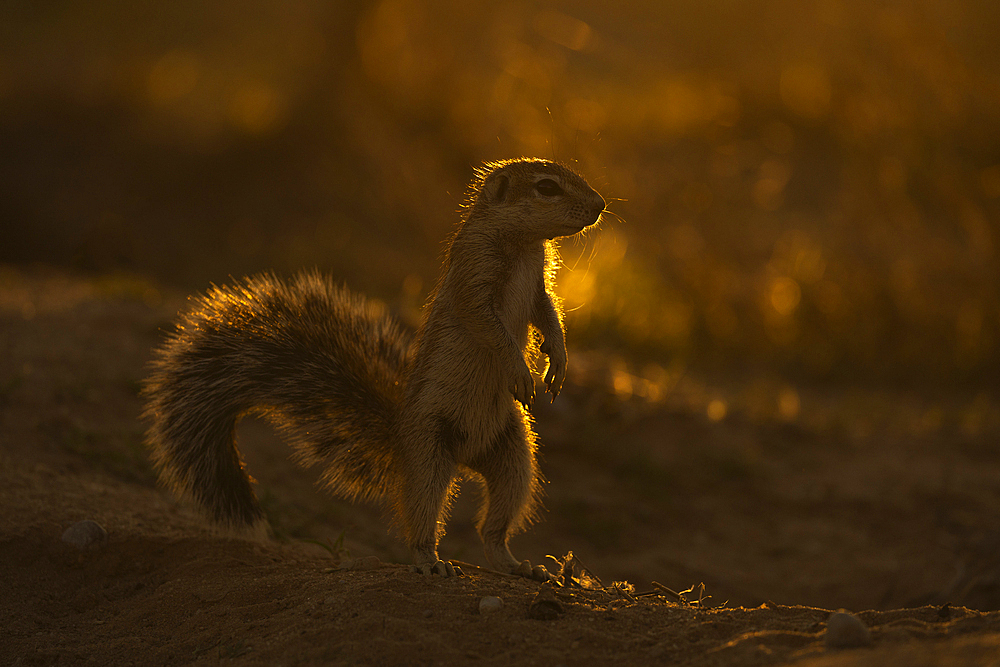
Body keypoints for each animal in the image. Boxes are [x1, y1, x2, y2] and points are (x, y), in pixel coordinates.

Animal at [142, 157, 604, 580]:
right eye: (547, 187)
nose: (600, 204)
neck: (525, 243)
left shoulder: (539, 284)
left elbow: (548, 313)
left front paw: (557, 361)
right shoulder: (475, 276)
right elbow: (487, 325)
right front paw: (520, 371)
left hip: (515, 456)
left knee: (495, 523)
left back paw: (514, 564)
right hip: (430, 453)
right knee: (421, 513)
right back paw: (429, 560)